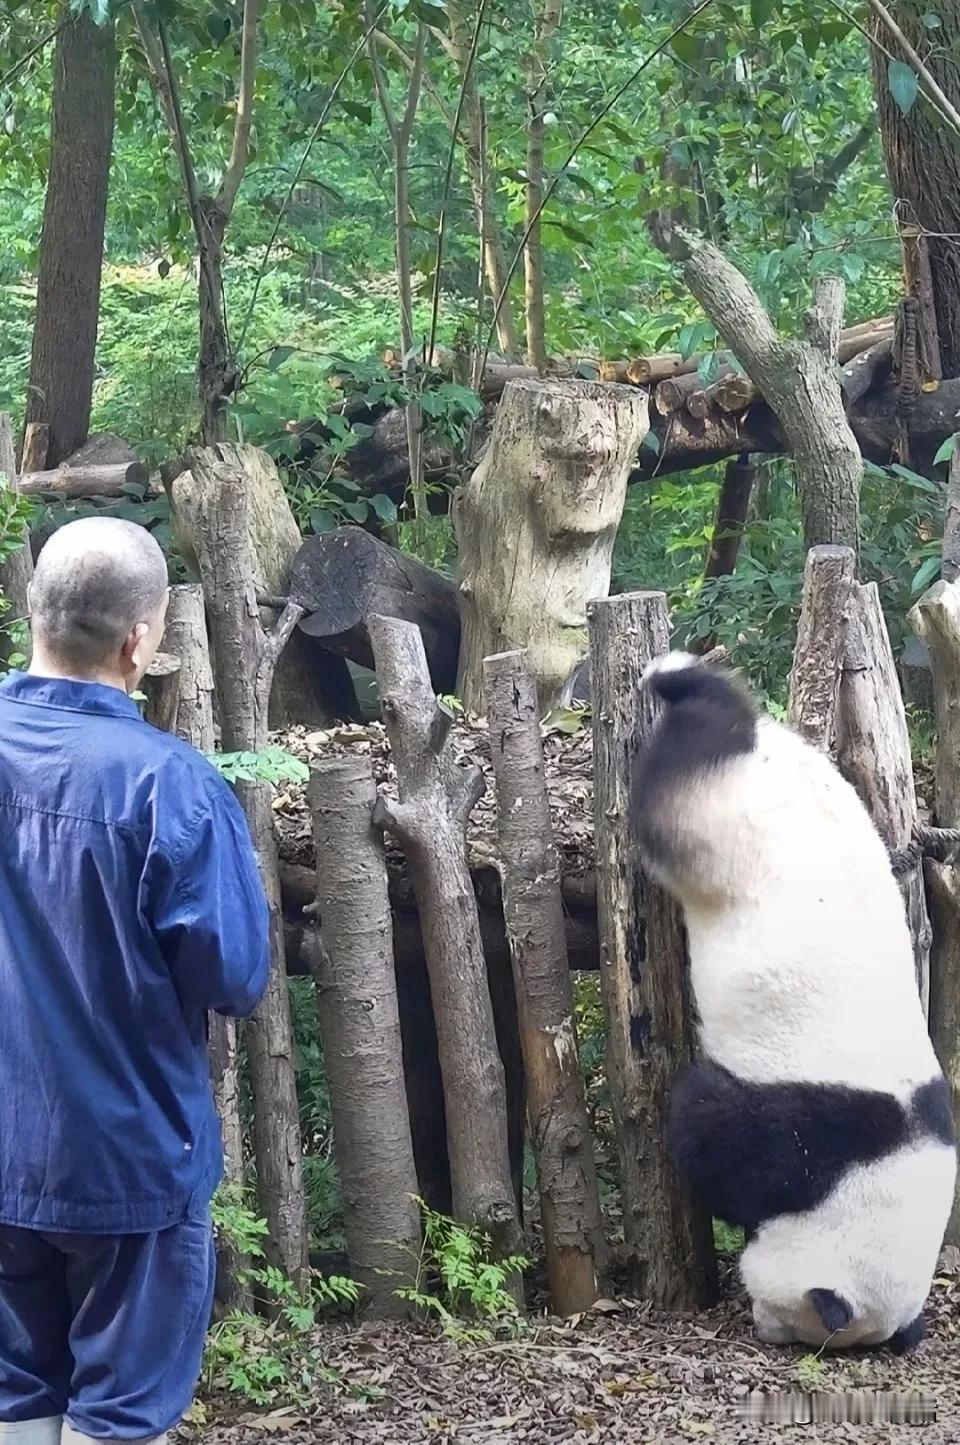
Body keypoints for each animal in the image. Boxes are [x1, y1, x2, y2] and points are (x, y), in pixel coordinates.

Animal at [633, 656, 954, 1352]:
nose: (770, 1331)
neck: (890, 1158)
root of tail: (759, 751)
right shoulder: (815, 1126)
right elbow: (712, 1134)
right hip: (715, 822)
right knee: (674, 776)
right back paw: (672, 679)